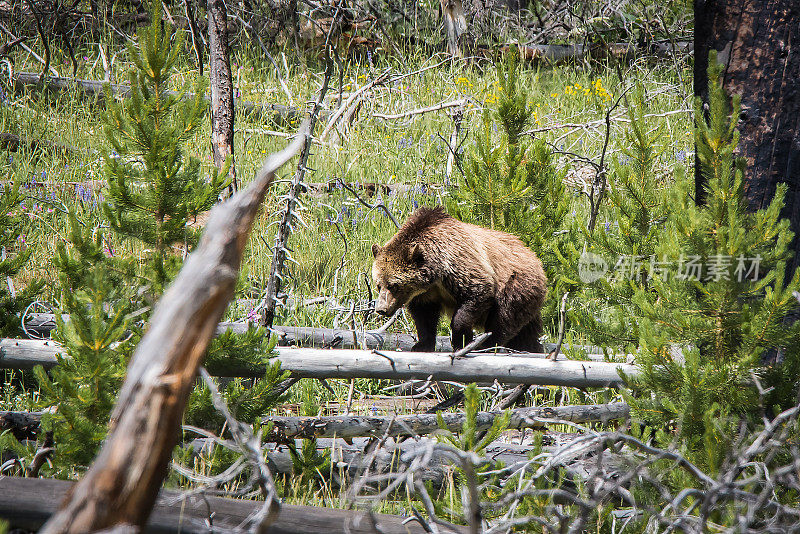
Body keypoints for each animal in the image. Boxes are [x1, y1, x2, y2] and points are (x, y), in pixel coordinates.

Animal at [372, 207, 548, 354]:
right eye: (378, 285)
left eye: (394, 285)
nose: (381, 309)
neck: (435, 274)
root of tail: (536, 258)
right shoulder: (426, 293)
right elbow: (424, 317)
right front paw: (421, 345)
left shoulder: (458, 264)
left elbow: (476, 294)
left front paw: (462, 341)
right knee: (526, 332)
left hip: (515, 285)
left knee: (503, 319)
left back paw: (485, 346)